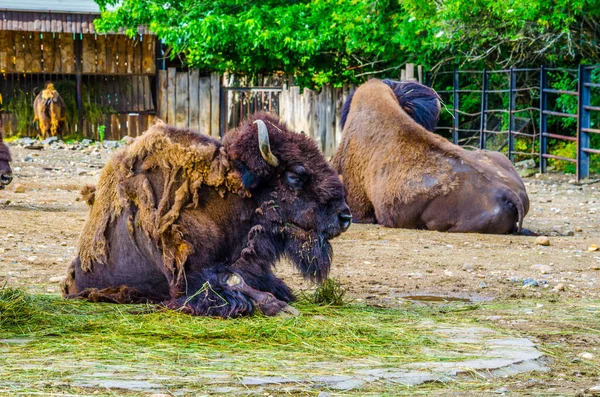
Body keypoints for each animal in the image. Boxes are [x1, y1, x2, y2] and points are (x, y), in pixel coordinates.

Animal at [61, 113, 352, 318]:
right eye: (295, 176)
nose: (345, 217)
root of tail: (74, 276)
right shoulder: (186, 279)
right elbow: (232, 288)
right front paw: (280, 308)